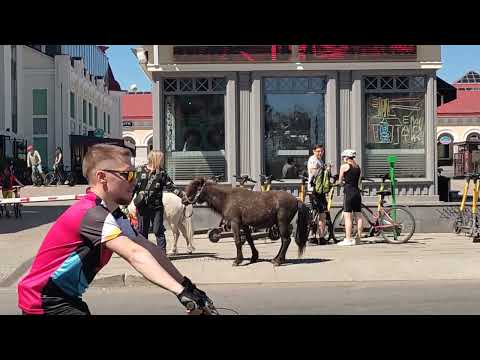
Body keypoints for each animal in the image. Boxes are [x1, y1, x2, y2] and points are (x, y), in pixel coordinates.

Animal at [182, 178, 310, 266]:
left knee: (286, 240)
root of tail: (296, 200)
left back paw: (278, 260)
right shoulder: (245, 225)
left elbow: (238, 241)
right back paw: (277, 258)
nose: (183, 200)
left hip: (282, 223)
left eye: (194, 188)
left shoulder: (235, 223)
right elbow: (249, 240)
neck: (226, 198)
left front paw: (238, 260)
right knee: (284, 241)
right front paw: (254, 256)